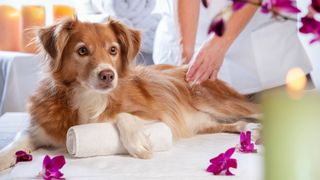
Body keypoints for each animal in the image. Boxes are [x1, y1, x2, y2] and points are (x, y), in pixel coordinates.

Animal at [0, 17, 260, 170]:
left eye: (113, 50)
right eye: (82, 50)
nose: (108, 75)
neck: (87, 97)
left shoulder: (158, 114)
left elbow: (122, 115)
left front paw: (138, 142)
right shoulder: (38, 129)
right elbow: (17, 142)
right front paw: (4, 159)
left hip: (215, 102)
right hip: (207, 121)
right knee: (235, 124)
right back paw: (250, 131)